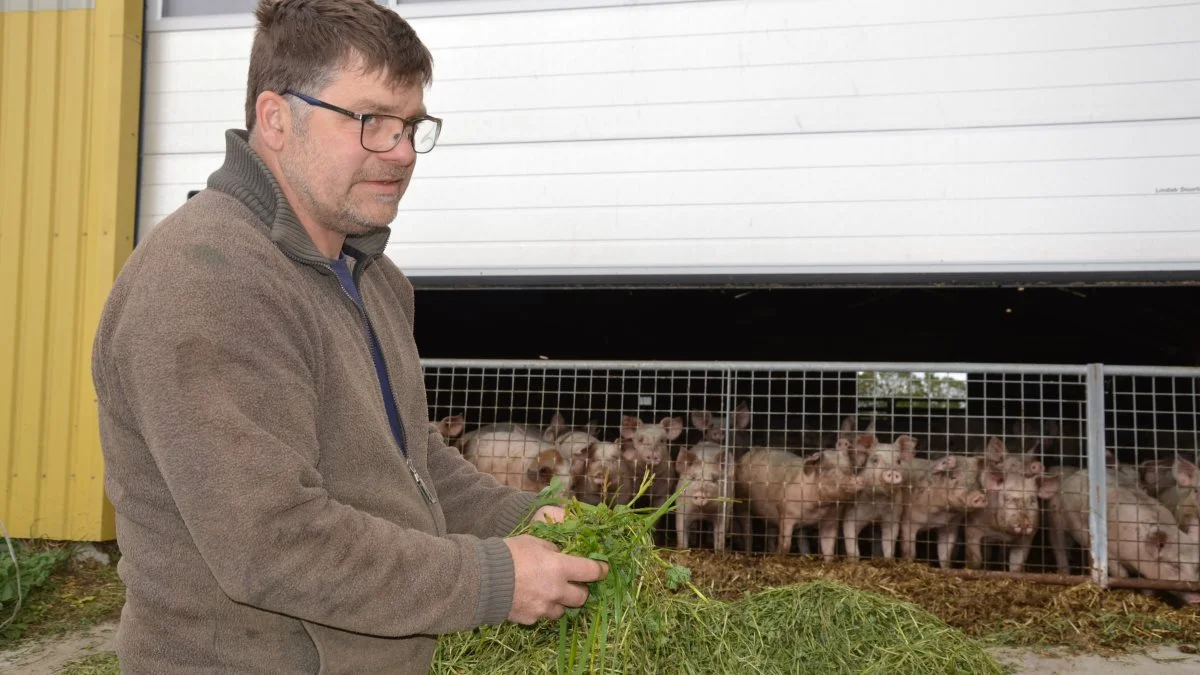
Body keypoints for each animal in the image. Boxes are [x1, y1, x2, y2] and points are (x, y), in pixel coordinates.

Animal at [734, 441, 868, 557]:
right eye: (828, 468)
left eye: (850, 468)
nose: (859, 479)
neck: (817, 509)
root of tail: (747, 454)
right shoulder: (785, 514)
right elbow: (785, 544)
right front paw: (779, 555)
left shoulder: (831, 520)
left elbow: (828, 547)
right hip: (742, 503)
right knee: (748, 532)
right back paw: (748, 554)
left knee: (780, 536)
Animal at [844, 427, 916, 559]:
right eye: (875, 460)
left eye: (898, 461)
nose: (892, 472)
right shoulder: (851, 513)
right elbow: (852, 544)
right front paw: (853, 560)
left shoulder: (893, 516)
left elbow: (888, 544)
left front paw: (888, 560)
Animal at [1051, 466, 1200, 600]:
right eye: (1174, 566)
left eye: (1197, 566)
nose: (1196, 599)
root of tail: (1078, 472)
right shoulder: (1110, 552)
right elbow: (1121, 574)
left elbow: (1147, 584)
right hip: (1058, 517)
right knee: (1059, 546)